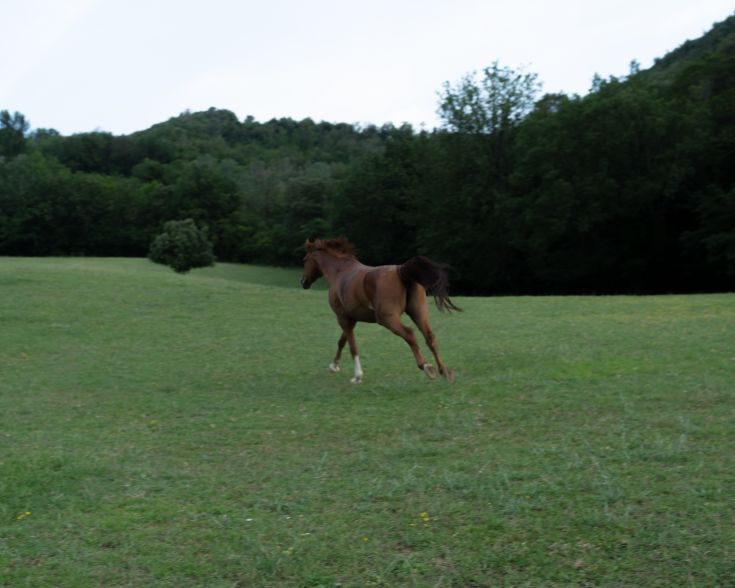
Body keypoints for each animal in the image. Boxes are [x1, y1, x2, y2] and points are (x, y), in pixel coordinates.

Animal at [300, 237, 461, 383]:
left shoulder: (342, 317)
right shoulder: (352, 318)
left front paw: (357, 376)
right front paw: (333, 366)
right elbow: (342, 341)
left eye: (305, 260)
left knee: (409, 334)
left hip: (387, 319)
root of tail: (401, 271)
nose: (303, 282)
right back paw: (445, 371)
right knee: (430, 337)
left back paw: (427, 367)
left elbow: (352, 346)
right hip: (418, 314)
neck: (340, 272)